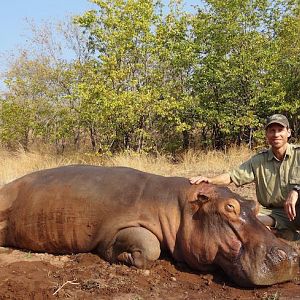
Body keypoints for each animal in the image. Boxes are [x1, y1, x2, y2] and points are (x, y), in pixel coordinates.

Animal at [0, 165, 298, 288]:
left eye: (253, 205)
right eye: (229, 208)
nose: (288, 255)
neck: (180, 205)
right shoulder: (121, 225)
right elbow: (150, 246)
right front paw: (123, 256)